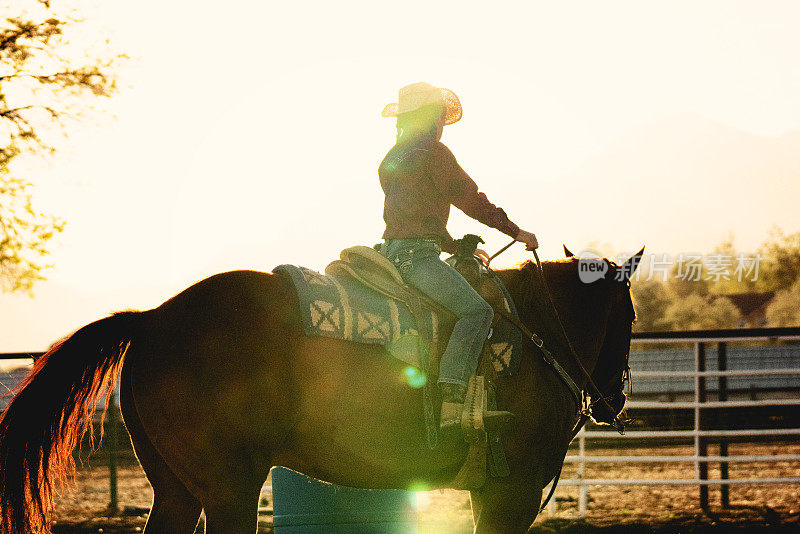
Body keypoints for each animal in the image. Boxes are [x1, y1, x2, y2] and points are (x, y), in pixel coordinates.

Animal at [0, 249, 644, 532]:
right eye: (631, 317)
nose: (614, 400)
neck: (534, 330)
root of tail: (153, 318)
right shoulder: (512, 493)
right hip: (229, 488)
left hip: (178, 488)